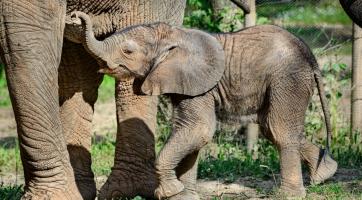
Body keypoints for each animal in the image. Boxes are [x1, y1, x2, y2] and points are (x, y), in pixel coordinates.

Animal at [72, 11, 338, 199]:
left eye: (128, 51)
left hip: (288, 78)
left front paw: (170, 192)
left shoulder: (200, 84)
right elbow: (191, 131)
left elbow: (197, 128)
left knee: (278, 129)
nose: (75, 16)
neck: (175, 35)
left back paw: (289, 195)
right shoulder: (186, 83)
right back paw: (325, 173)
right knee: (271, 128)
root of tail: (312, 58)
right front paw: (184, 196)